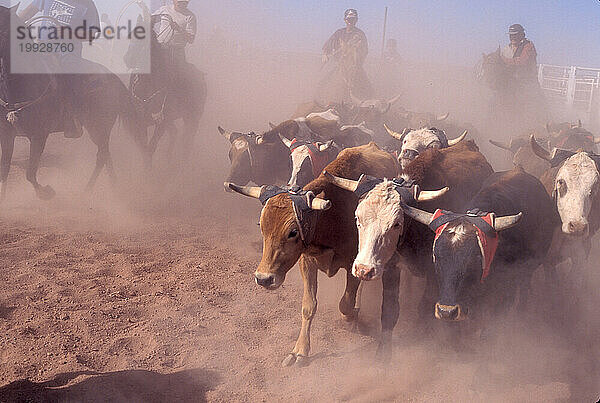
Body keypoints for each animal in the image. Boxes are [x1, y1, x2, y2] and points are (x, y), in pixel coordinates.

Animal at [0, 5, 138, 201]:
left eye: (4, 29)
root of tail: (114, 79)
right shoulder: (7, 135)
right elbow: (5, 172)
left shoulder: (39, 136)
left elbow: (30, 173)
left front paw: (46, 192)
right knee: (106, 154)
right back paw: (113, 186)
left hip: (99, 126)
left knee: (102, 155)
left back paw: (88, 190)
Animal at [123, 11, 207, 169]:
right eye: (131, 35)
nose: (128, 59)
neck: (148, 84)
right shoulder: (142, 122)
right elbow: (144, 149)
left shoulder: (161, 123)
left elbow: (150, 148)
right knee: (175, 133)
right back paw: (168, 159)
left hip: (193, 118)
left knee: (187, 142)